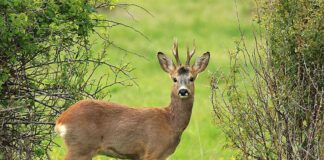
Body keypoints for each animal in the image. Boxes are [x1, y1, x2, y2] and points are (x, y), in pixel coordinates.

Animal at [54, 40, 210, 159]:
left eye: (192, 78)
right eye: (174, 79)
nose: (183, 91)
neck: (171, 122)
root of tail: (61, 120)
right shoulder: (152, 151)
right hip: (81, 146)